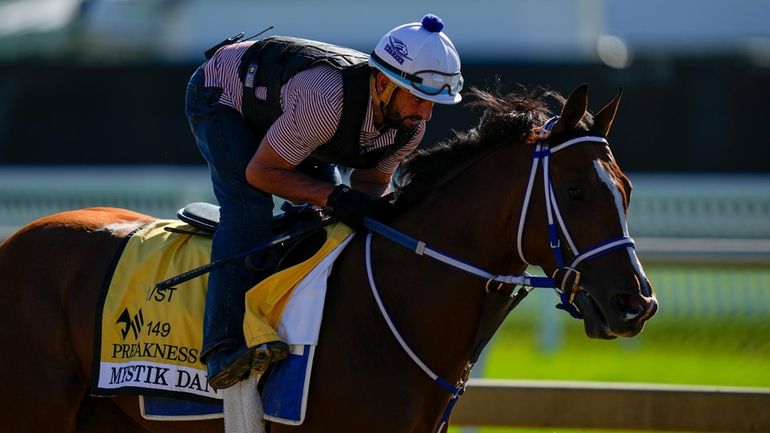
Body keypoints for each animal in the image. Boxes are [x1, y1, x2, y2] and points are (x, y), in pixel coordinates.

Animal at [0, 85, 656, 432]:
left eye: (625, 190)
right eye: (576, 191)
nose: (636, 304)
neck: (391, 309)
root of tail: (15, 240)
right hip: (34, 409)